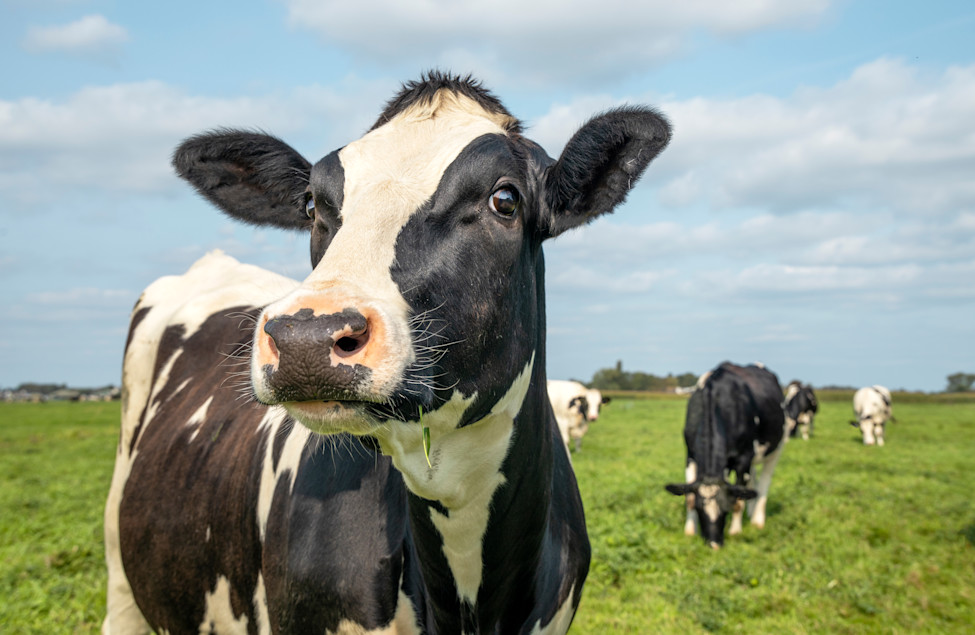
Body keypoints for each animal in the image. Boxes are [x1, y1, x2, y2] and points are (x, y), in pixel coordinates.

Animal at [665, 362, 787, 549]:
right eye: (700, 509)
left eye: (725, 508)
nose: (714, 544)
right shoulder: (690, 455)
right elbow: (689, 497)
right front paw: (690, 531)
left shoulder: (743, 459)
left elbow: (738, 500)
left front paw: (735, 531)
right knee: (752, 480)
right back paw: (751, 511)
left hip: (776, 448)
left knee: (764, 482)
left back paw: (757, 520)